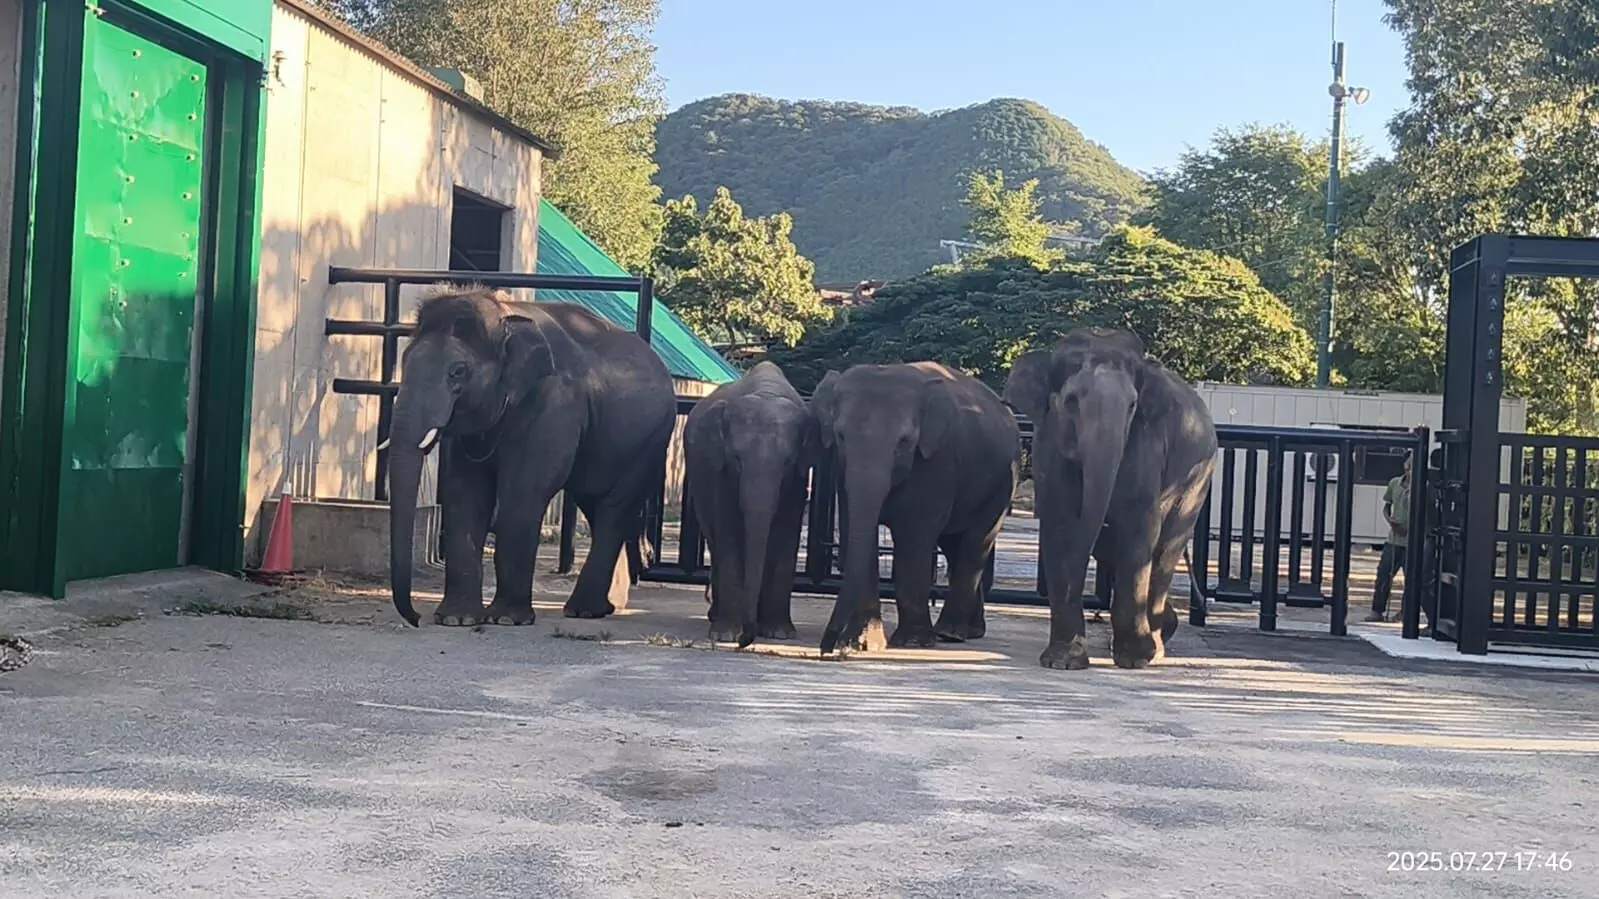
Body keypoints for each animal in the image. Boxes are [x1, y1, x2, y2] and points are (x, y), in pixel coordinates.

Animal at [385, 286, 676, 628]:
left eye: (458, 372)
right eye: (404, 362)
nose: (416, 618)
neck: (503, 317)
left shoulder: (553, 406)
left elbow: (522, 493)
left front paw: (507, 620)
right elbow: (464, 495)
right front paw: (457, 619)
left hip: (649, 442)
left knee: (613, 509)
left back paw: (583, 610)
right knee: (596, 503)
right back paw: (604, 607)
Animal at [682, 361, 815, 647]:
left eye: (787, 463)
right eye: (736, 459)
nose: (746, 639)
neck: (766, 391)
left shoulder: (797, 482)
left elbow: (786, 535)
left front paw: (780, 634)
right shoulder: (721, 472)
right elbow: (729, 533)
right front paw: (725, 635)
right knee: (715, 542)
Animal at [811, 362, 1021, 654]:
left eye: (904, 442)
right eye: (840, 436)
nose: (828, 649)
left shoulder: (937, 460)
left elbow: (913, 538)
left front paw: (913, 642)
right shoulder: (843, 470)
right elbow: (858, 528)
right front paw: (862, 644)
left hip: (1004, 479)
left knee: (976, 541)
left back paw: (950, 633)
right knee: (955, 545)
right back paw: (971, 631)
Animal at [1004, 327, 1218, 670]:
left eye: (1132, 406)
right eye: (1071, 402)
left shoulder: (1145, 443)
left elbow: (1138, 525)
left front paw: (1135, 659)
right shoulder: (1047, 443)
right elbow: (1059, 525)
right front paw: (1063, 661)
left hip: (1197, 481)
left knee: (1166, 549)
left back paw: (1157, 645)